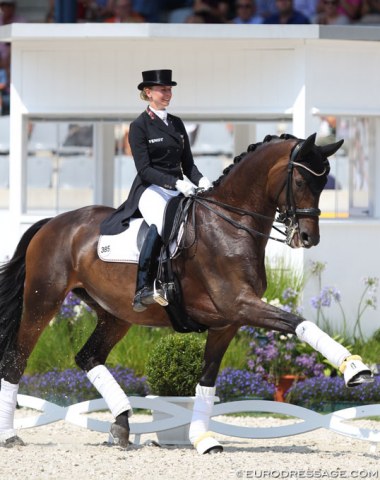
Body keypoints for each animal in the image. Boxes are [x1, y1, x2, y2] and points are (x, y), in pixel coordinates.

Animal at [0, 133, 374, 452]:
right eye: (299, 182)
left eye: (323, 183)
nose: (308, 237)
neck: (231, 224)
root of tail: (52, 223)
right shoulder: (240, 304)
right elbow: (299, 323)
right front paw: (354, 369)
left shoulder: (227, 322)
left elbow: (206, 382)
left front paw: (202, 439)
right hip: (43, 300)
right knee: (16, 360)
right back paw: (9, 435)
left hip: (115, 314)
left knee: (88, 357)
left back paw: (121, 425)